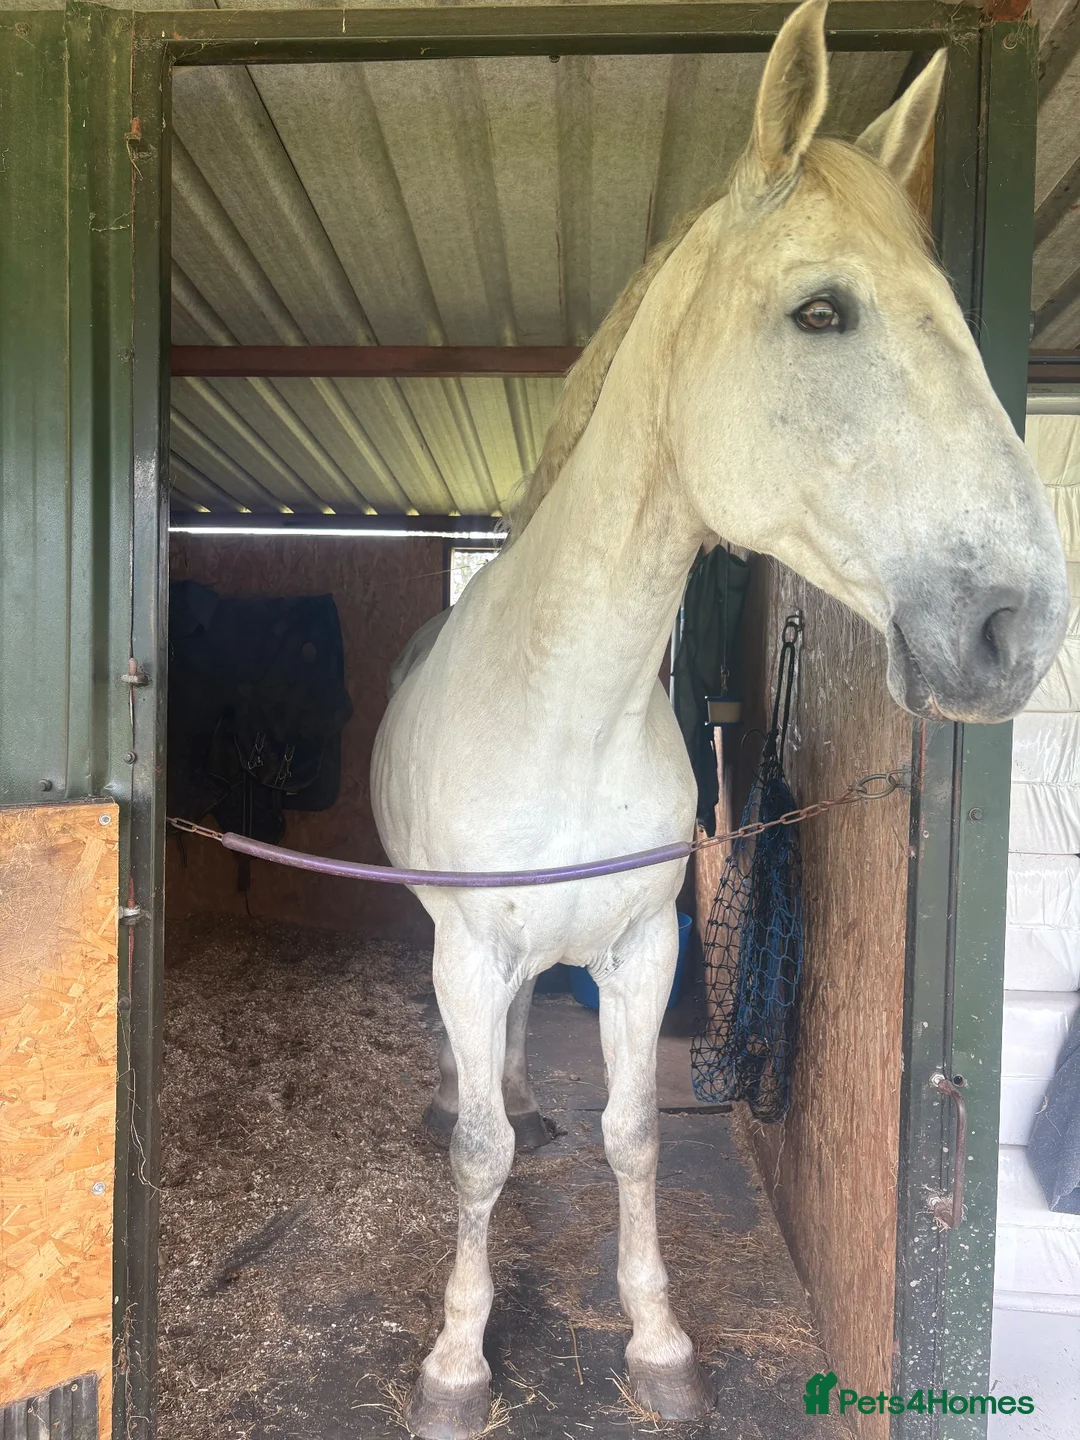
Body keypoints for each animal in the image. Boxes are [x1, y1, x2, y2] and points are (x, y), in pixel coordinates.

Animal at [372, 3, 1069, 1434]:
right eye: (821, 310)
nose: (1016, 630)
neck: (564, 714)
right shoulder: (470, 948)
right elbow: (476, 1153)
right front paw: (458, 1361)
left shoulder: (642, 952)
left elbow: (634, 1134)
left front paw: (659, 1345)